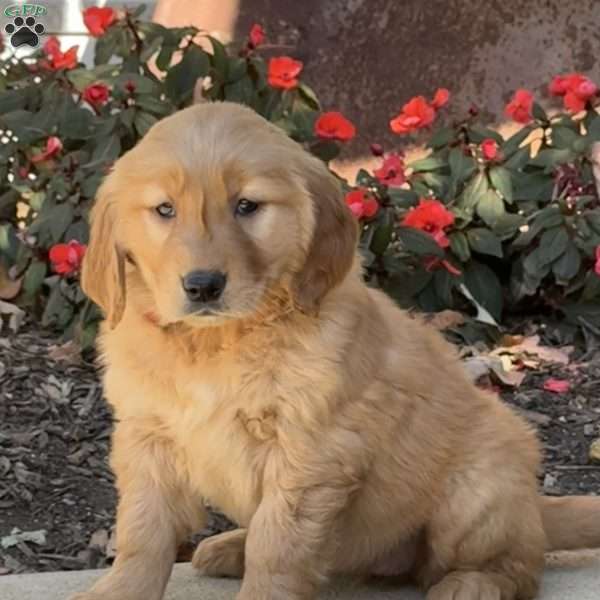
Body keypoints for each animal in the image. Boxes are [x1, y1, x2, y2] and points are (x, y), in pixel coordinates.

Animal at [74, 101, 600, 596]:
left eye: (247, 206)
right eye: (164, 210)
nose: (203, 286)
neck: (216, 343)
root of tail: (532, 507)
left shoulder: (309, 450)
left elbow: (276, 544)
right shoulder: (147, 435)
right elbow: (143, 531)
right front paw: (119, 592)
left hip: (475, 492)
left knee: (518, 566)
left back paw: (472, 585)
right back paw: (230, 547)